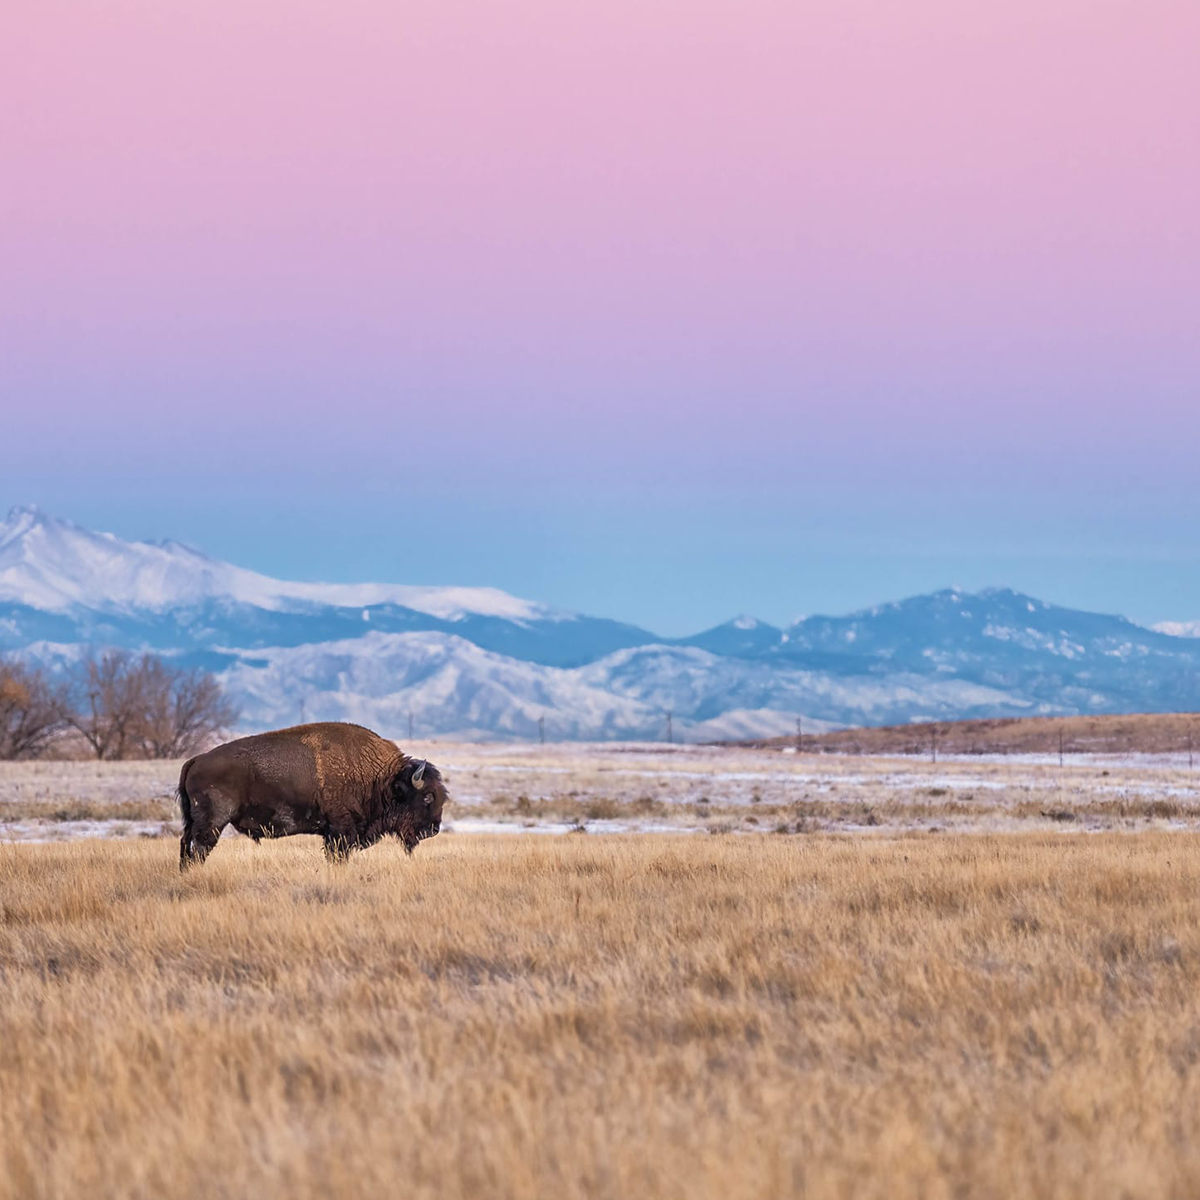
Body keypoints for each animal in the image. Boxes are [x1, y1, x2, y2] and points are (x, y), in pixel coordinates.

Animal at [174, 715, 446, 868]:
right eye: (427, 796)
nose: (433, 829)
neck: (382, 779)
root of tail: (197, 759)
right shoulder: (340, 831)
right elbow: (337, 856)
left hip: (193, 822)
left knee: (186, 845)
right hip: (213, 823)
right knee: (200, 848)